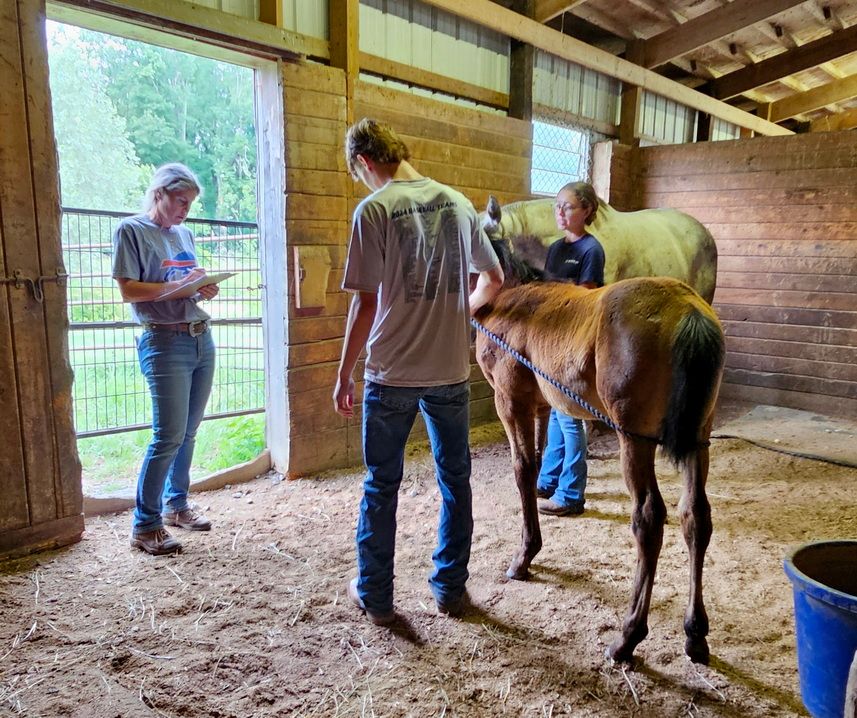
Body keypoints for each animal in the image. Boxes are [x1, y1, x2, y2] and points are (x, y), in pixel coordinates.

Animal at [474, 240, 725, 664]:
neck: (511, 299)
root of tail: (688, 308)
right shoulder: (542, 406)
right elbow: (538, 462)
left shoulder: (510, 401)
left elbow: (522, 470)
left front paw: (523, 557)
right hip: (698, 438)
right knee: (695, 517)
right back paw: (695, 635)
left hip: (635, 439)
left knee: (649, 518)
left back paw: (628, 636)